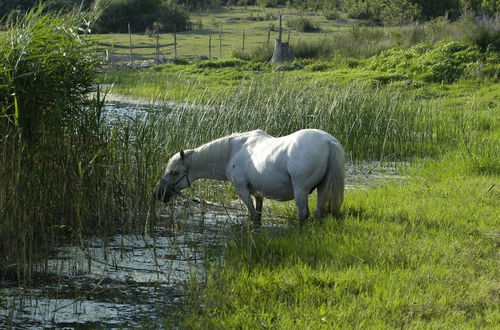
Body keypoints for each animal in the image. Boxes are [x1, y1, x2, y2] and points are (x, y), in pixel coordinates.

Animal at [154, 130, 346, 227]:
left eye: (174, 172)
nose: (158, 194)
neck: (233, 150)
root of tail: (328, 141)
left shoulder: (242, 190)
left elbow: (252, 215)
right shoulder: (257, 193)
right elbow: (258, 216)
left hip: (301, 190)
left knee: (303, 215)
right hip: (322, 189)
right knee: (318, 213)